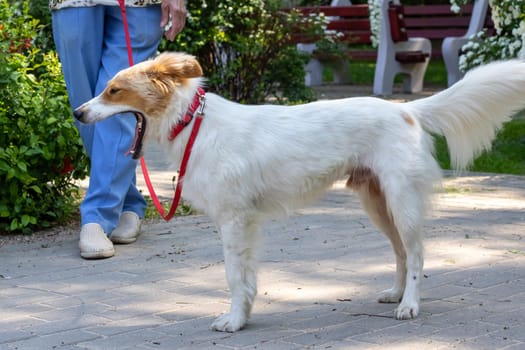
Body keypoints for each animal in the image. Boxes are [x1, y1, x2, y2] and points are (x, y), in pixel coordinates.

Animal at [74, 53, 525, 332]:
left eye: (113, 90)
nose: (77, 112)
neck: (194, 125)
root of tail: (406, 109)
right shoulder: (245, 225)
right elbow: (246, 278)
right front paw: (245, 316)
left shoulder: (234, 221)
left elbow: (234, 276)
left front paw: (234, 321)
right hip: (379, 204)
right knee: (400, 253)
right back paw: (396, 294)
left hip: (402, 202)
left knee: (415, 255)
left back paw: (409, 304)